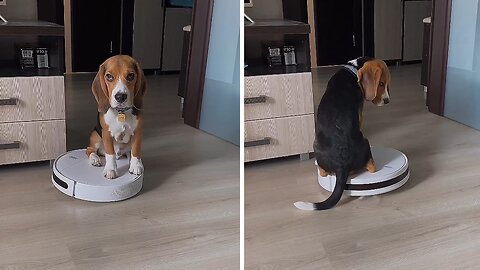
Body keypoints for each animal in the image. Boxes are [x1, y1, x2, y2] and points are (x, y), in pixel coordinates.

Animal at [294, 57, 392, 210]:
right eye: (381, 83)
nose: (387, 101)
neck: (352, 70)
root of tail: (342, 165)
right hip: (364, 140)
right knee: (371, 167)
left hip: (318, 144)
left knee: (326, 171)